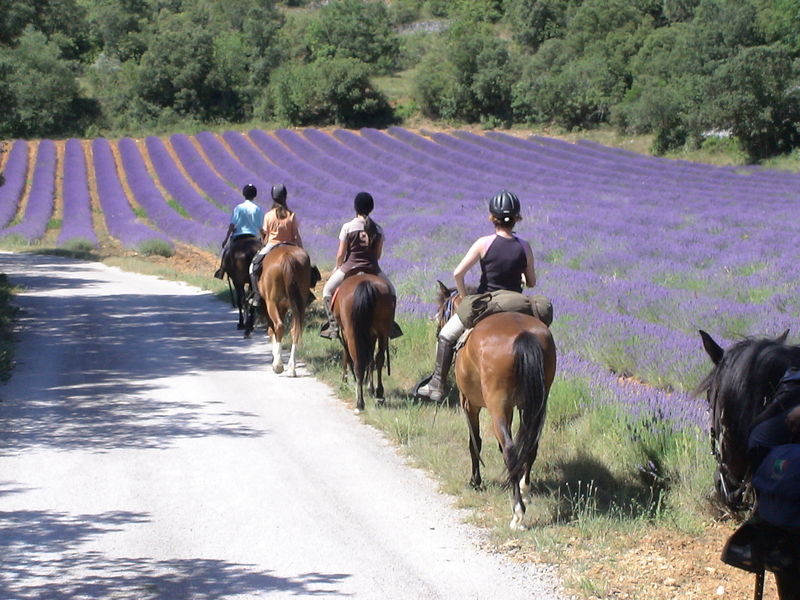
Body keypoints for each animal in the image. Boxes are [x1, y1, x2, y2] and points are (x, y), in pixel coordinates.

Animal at [332, 272, 394, 412]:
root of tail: (365, 283)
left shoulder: (344, 333)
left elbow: (346, 356)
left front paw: (344, 383)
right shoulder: (372, 334)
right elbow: (371, 359)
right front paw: (370, 388)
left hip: (351, 333)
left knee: (358, 362)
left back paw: (360, 402)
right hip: (383, 331)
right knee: (379, 358)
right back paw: (379, 393)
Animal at [434, 282, 552, 528]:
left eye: (441, 312)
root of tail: (524, 334)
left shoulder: (469, 403)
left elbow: (475, 442)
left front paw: (475, 481)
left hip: (497, 405)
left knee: (510, 449)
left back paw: (518, 513)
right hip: (535, 405)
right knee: (530, 446)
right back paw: (524, 490)